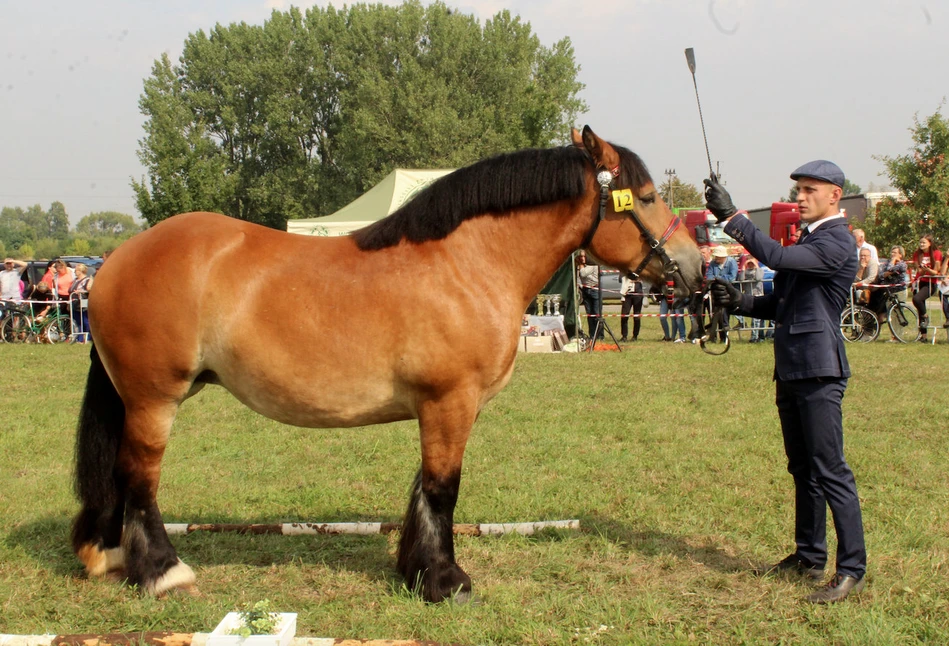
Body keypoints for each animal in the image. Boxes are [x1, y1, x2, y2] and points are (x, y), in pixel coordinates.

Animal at [70, 126, 700, 604]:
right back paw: (163, 573)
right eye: (646, 196)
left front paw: (417, 571)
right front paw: (447, 582)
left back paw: (112, 557)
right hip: (154, 400)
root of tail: (117, 261)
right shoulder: (450, 402)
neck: (465, 262)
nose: (693, 267)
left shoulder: (442, 409)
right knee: (140, 479)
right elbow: (443, 490)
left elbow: (424, 488)